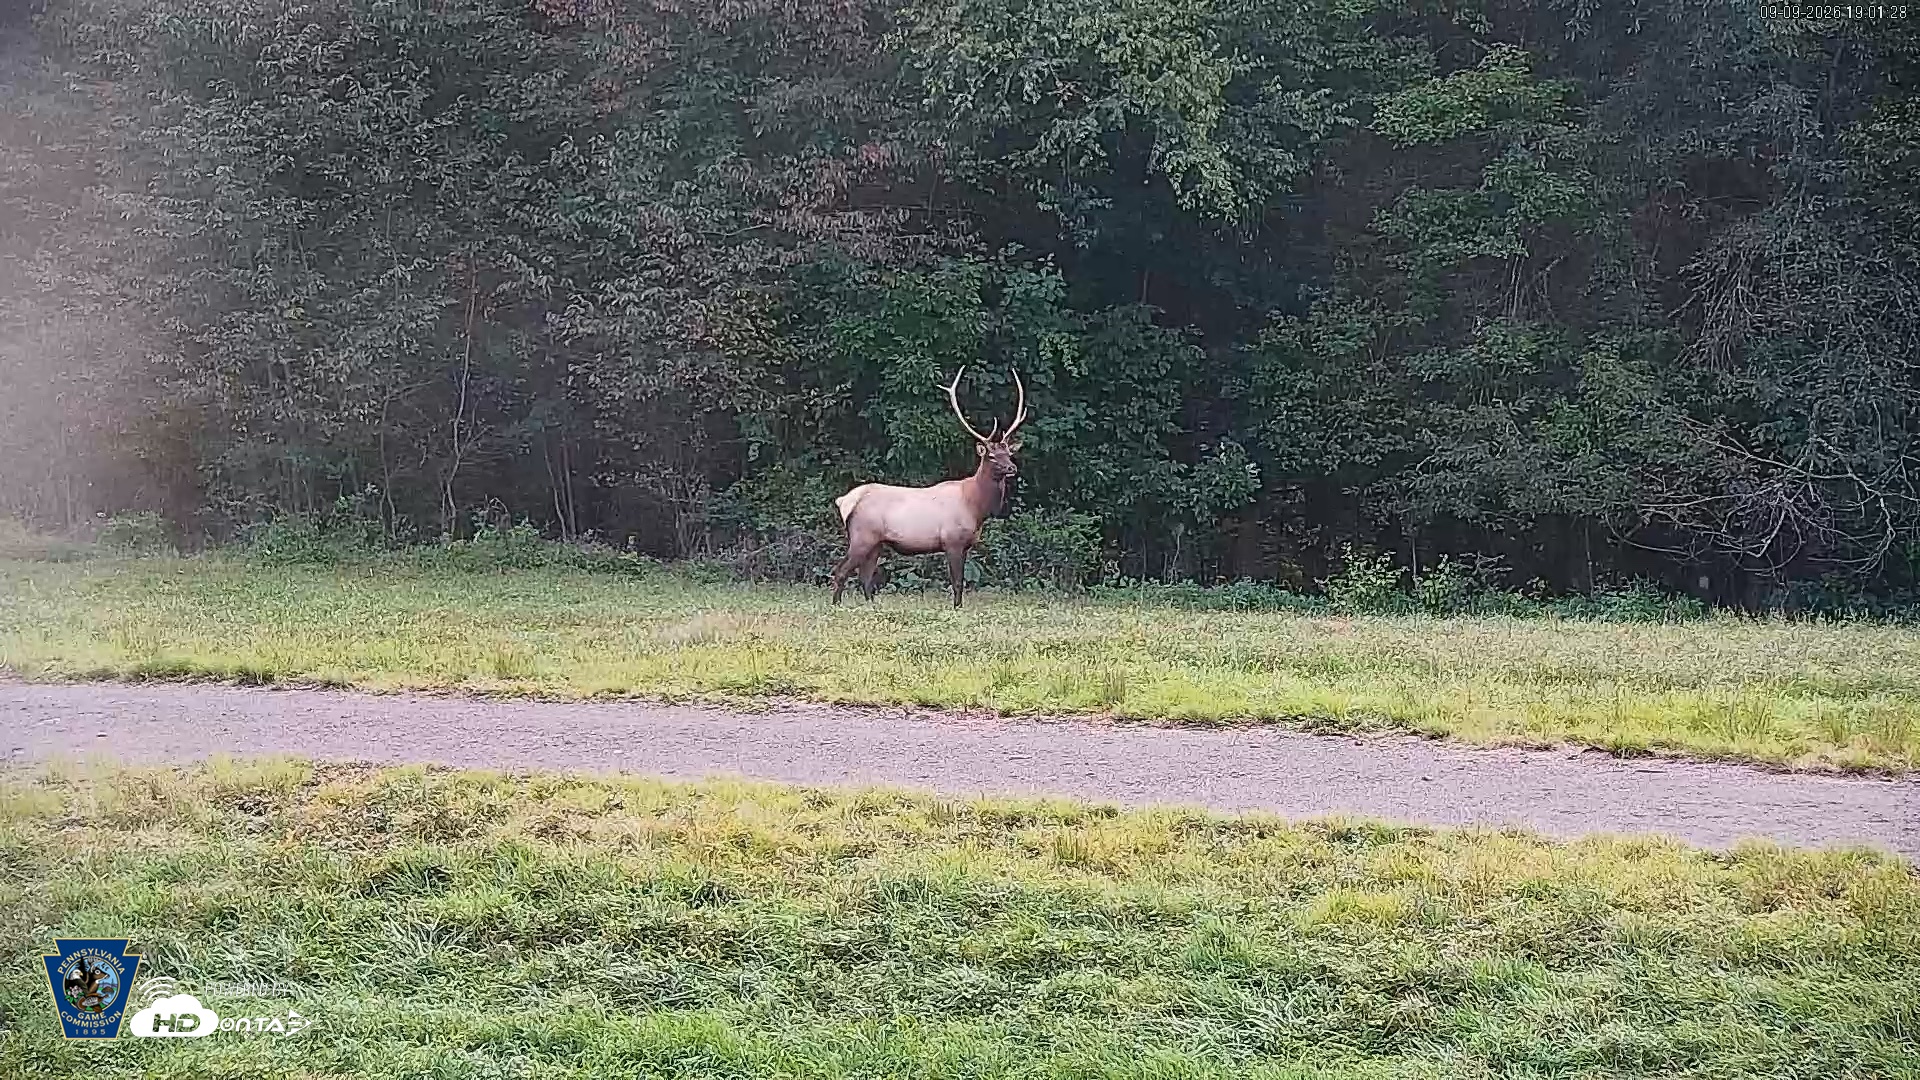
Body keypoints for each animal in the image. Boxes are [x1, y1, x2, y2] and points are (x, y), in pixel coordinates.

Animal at [831, 367, 1027, 608]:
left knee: (865, 576)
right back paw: (837, 605)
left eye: (1008, 453)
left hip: (876, 542)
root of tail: (845, 501)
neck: (976, 507)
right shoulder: (952, 540)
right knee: (841, 571)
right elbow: (957, 582)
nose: (1011, 468)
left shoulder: (966, 544)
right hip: (862, 536)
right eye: (991, 456)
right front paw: (956, 608)